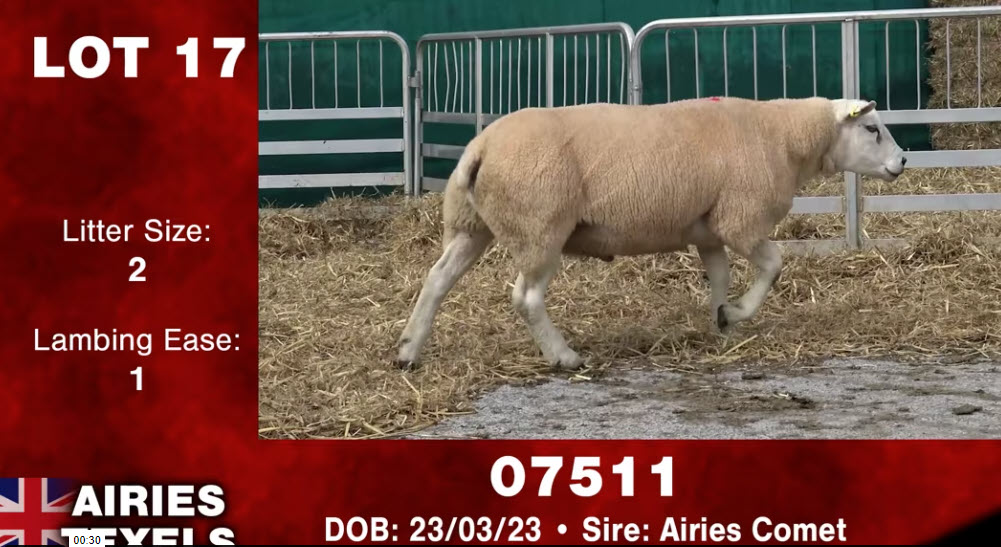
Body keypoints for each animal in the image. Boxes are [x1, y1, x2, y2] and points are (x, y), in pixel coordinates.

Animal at [395, 96, 906, 370]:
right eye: (872, 128)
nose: (903, 161)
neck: (783, 136)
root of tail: (480, 146)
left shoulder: (708, 227)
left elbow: (719, 277)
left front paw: (722, 322)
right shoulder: (739, 218)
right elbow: (774, 263)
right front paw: (738, 313)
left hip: (472, 224)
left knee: (437, 279)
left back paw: (407, 350)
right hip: (541, 227)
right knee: (527, 297)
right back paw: (563, 356)